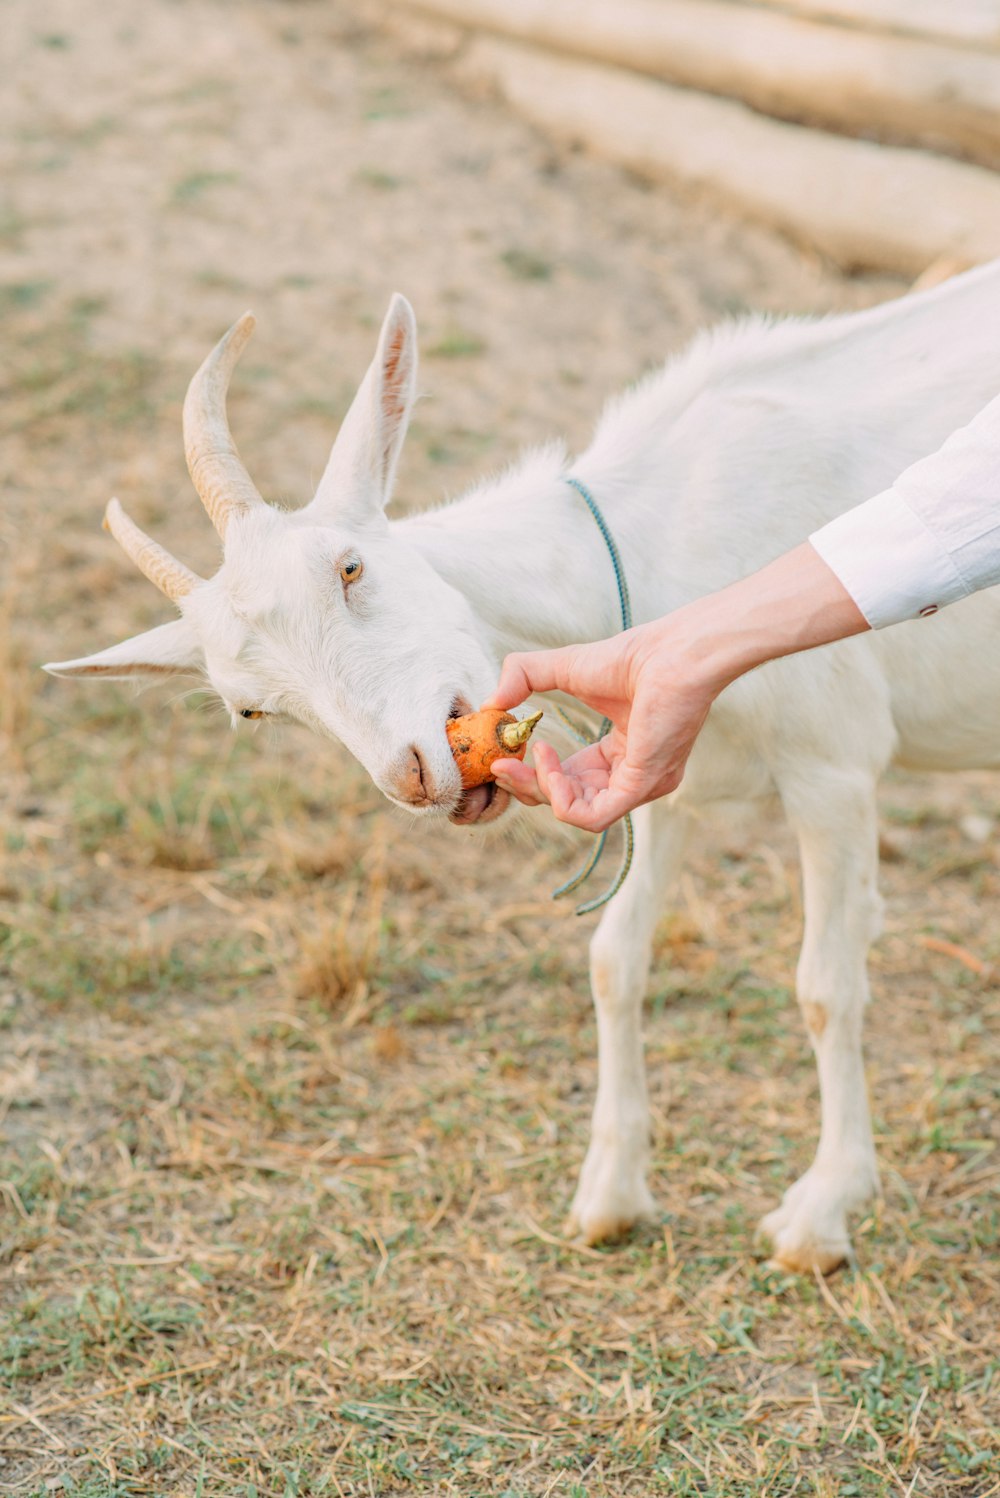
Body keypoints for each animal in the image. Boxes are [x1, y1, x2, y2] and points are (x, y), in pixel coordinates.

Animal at [48, 263, 1000, 1270]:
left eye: (349, 568)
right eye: (250, 707)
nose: (413, 774)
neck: (665, 537)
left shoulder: (835, 766)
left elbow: (825, 986)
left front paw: (820, 1215)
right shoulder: (663, 766)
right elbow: (615, 961)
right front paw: (611, 1195)